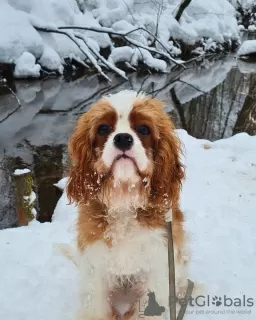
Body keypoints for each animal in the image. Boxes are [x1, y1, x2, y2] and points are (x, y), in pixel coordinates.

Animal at [67, 90, 189, 320]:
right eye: (103, 129)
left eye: (144, 129)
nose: (123, 138)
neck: (124, 198)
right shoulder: (96, 268)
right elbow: (96, 309)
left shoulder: (159, 264)